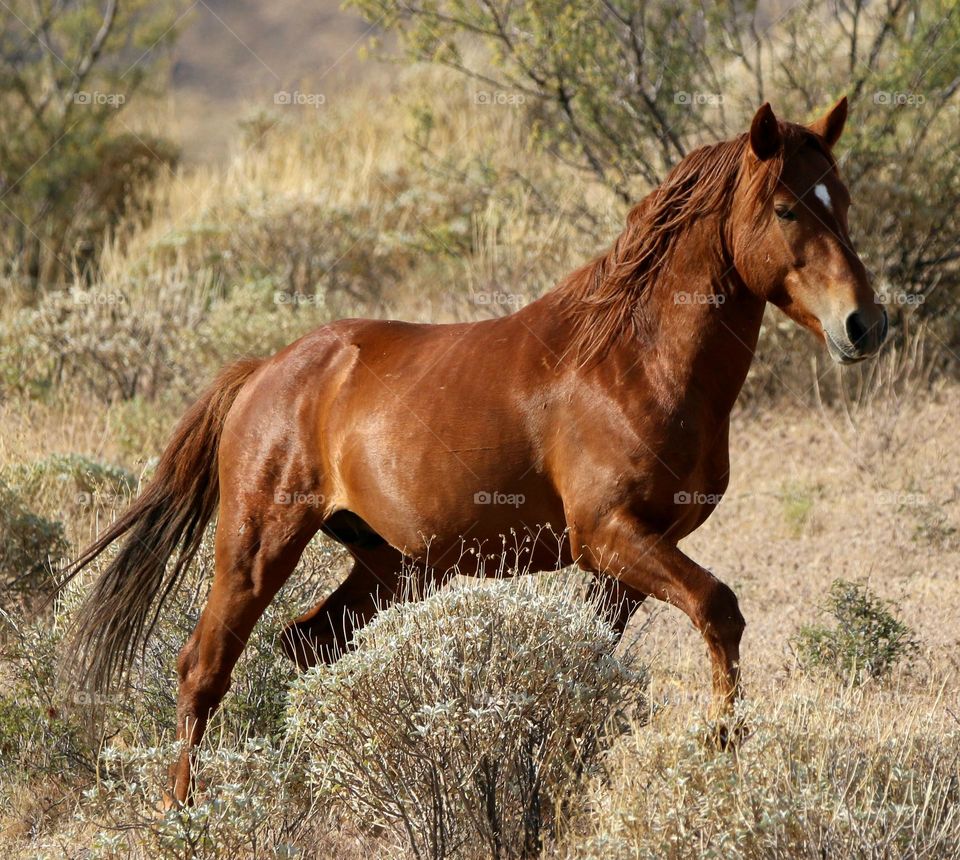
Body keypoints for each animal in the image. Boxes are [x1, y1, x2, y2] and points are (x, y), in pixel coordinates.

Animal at [61, 98, 887, 803]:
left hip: (388, 565)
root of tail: (267, 369)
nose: (865, 324)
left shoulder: (624, 562)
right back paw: (186, 810)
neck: (633, 360)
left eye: (844, 200)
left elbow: (593, 666)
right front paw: (721, 742)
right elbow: (720, 609)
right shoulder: (612, 537)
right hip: (258, 543)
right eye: (785, 207)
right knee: (203, 669)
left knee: (309, 644)